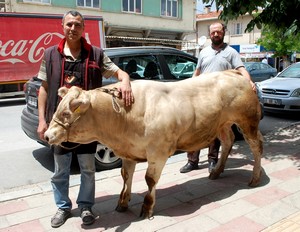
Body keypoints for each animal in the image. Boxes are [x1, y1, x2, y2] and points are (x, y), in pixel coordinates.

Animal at [44, 70, 262, 218]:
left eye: (66, 113)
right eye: (58, 108)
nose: (46, 135)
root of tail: (233, 72)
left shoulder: (158, 152)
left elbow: (150, 180)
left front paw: (147, 207)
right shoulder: (129, 152)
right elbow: (126, 176)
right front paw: (123, 203)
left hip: (247, 121)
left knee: (256, 146)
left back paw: (255, 178)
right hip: (223, 123)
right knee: (228, 140)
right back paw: (216, 172)